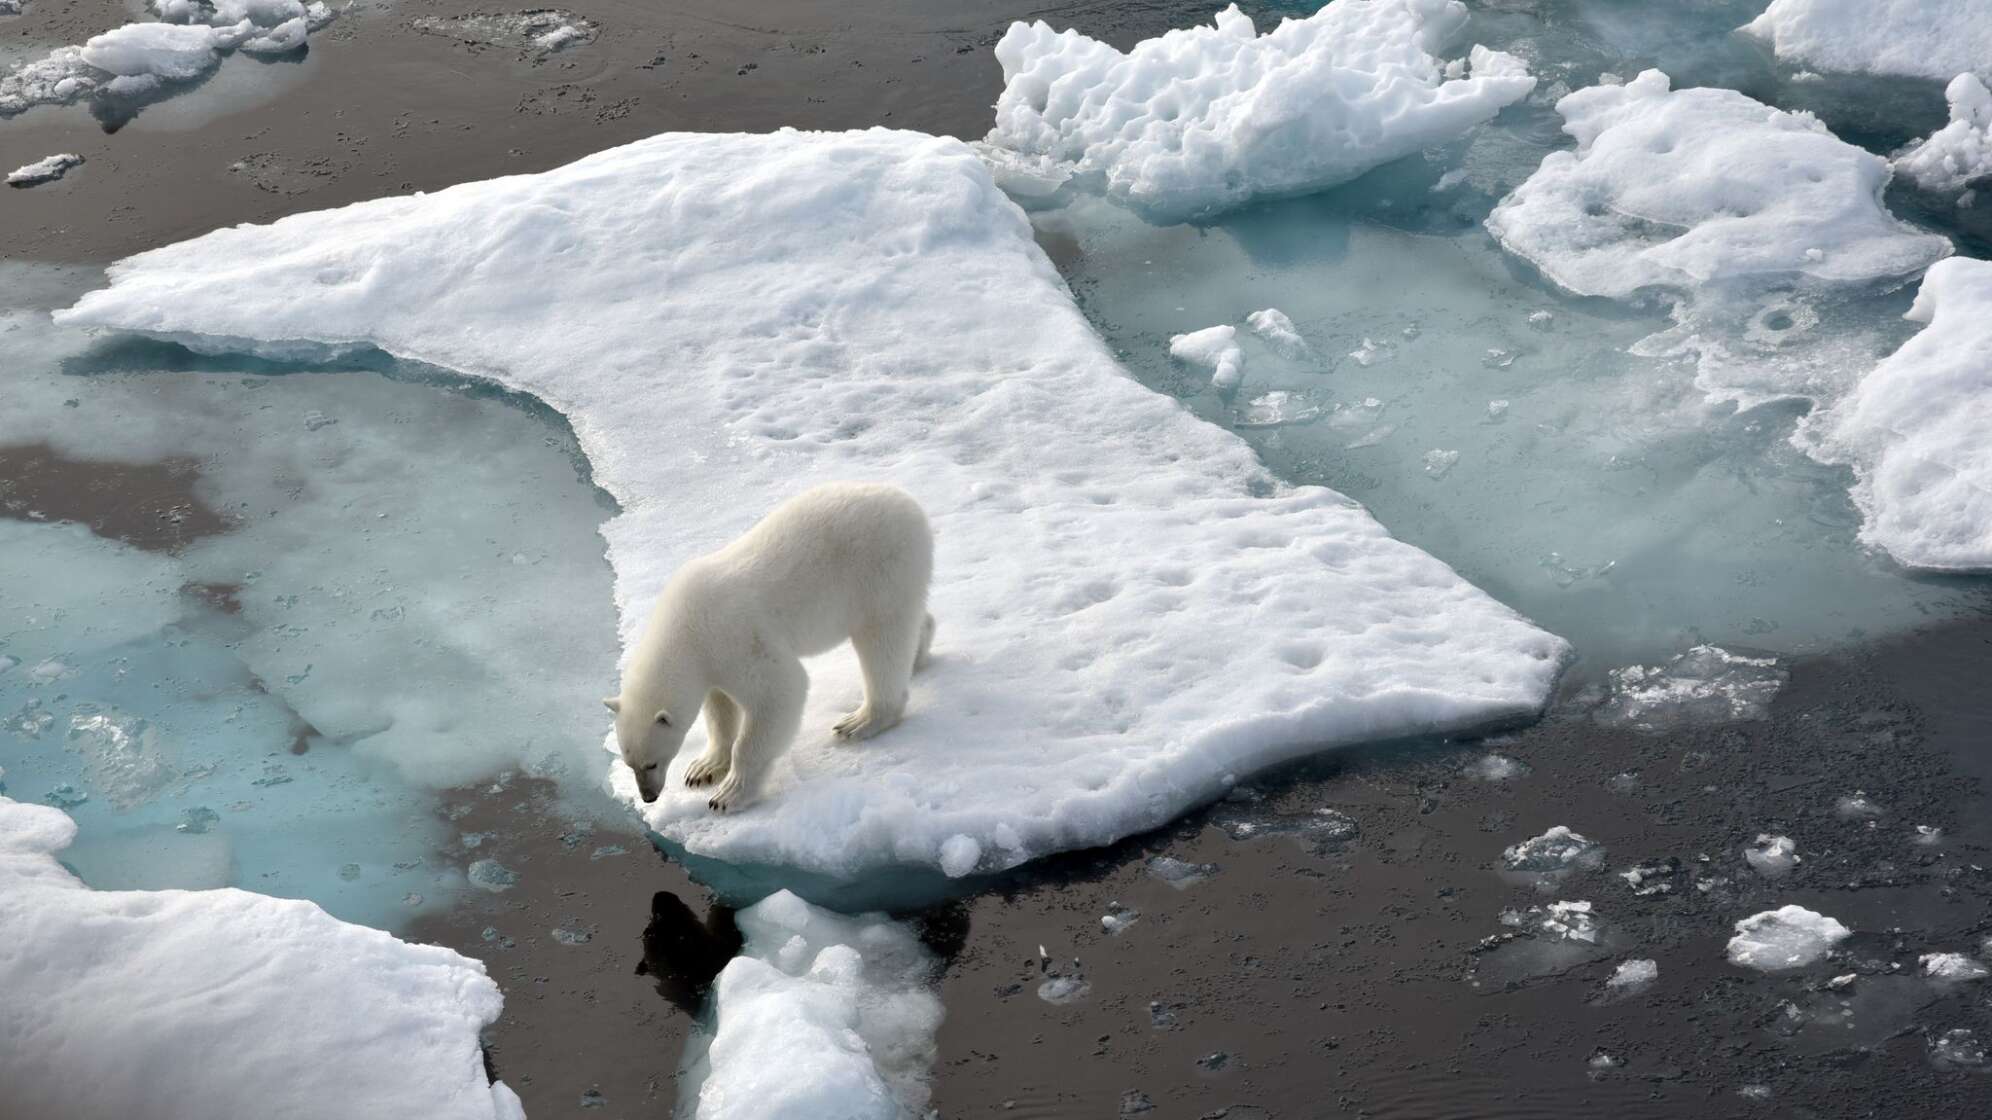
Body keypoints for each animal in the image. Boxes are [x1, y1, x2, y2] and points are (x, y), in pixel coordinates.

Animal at [601, 480, 936, 809]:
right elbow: (720, 709)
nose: (649, 796)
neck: (685, 628)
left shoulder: (734, 637)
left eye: (651, 763)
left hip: (880, 569)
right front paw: (703, 768)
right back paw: (918, 654)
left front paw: (729, 794)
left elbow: (780, 691)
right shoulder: (712, 661)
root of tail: (910, 505)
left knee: (882, 641)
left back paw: (861, 720)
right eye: (630, 763)